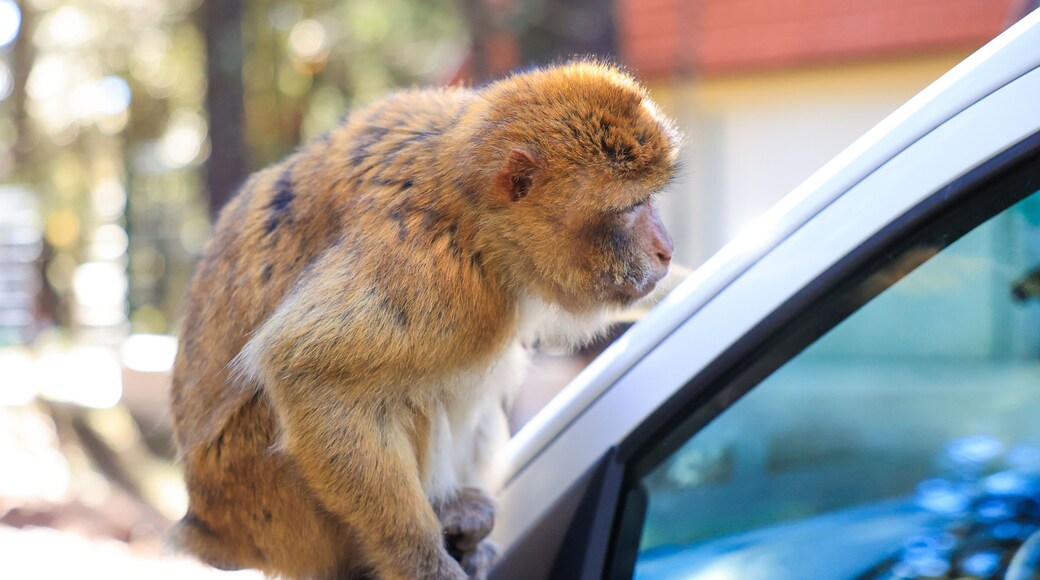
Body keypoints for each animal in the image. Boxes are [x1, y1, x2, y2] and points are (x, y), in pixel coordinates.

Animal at [168, 60, 680, 580]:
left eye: (650, 200)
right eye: (630, 207)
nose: (666, 249)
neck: (475, 217)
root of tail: (210, 528)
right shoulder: (427, 270)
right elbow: (303, 370)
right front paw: (423, 563)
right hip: (268, 499)